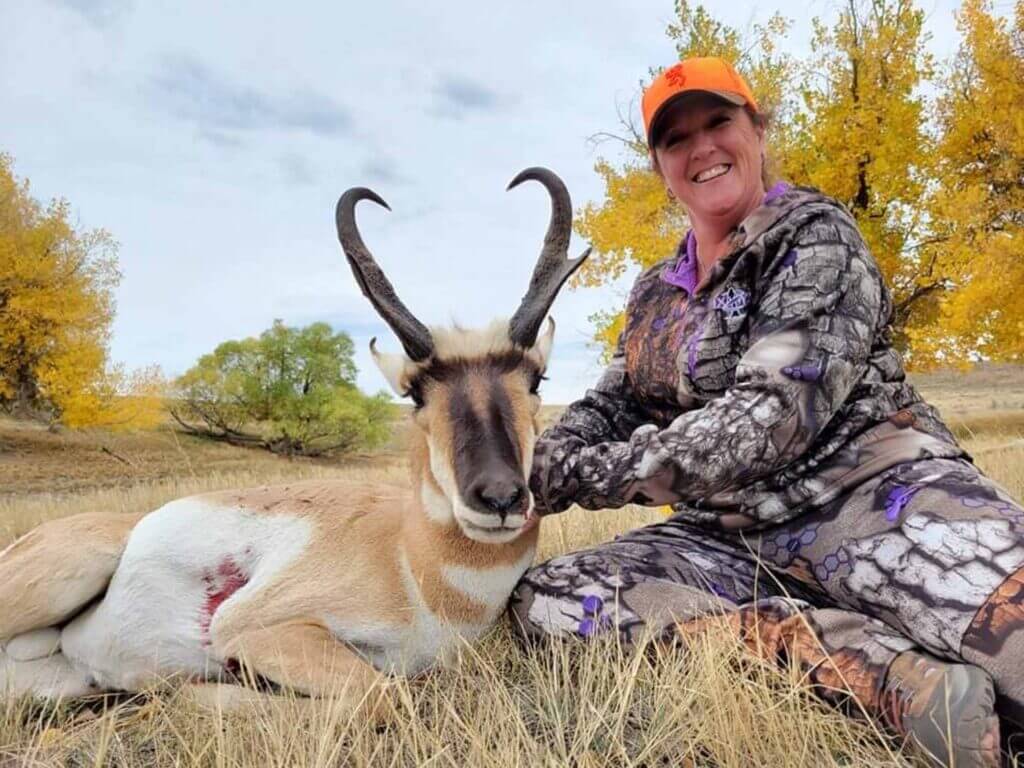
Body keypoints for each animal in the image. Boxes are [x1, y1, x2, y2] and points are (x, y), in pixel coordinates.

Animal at [0, 167, 589, 709]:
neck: (414, 559)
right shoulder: (253, 627)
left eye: (536, 379)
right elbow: (380, 697)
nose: (499, 497)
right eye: (416, 393)